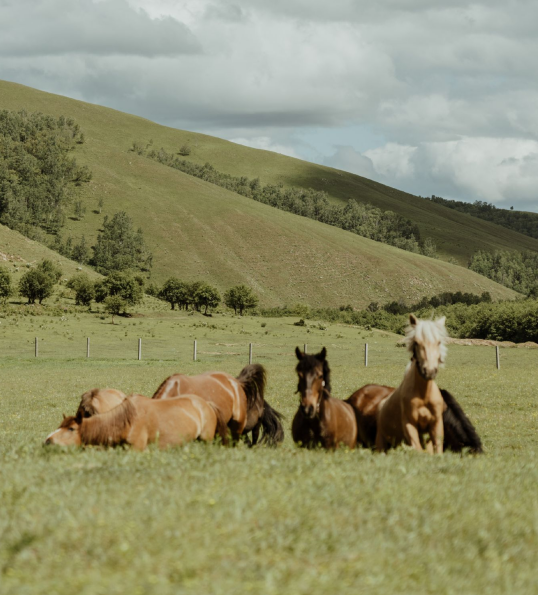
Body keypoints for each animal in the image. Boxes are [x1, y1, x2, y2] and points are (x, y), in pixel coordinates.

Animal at [372, 314, 444, 454]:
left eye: (438, 342)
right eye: (416, 342)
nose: (429, 371)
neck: (423, 395)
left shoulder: (436, 425)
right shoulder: (410, 424)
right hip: (381, 441)